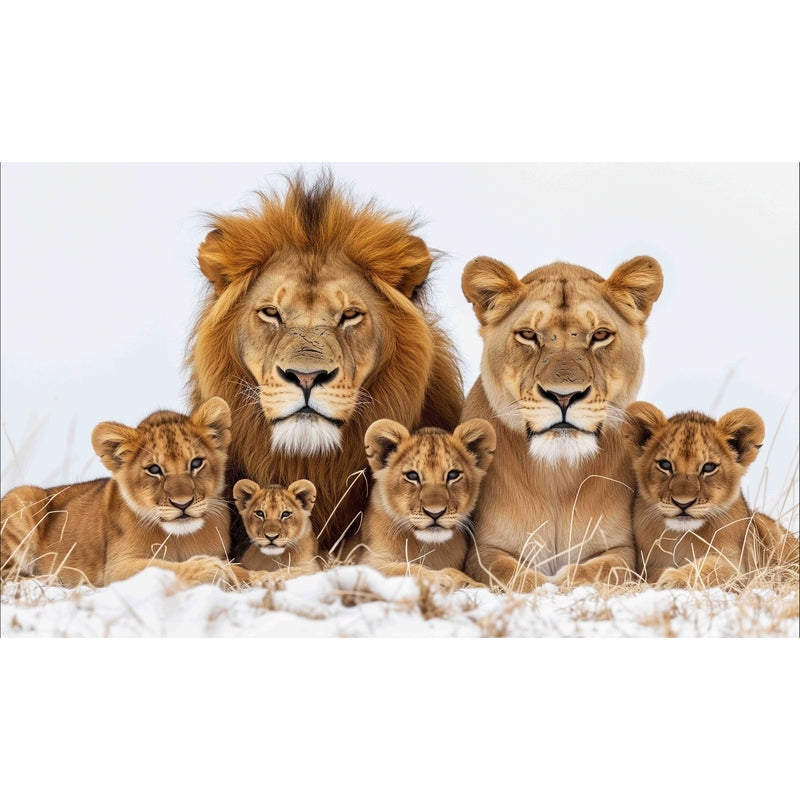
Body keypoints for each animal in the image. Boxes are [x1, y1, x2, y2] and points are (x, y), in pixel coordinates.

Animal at [0, 397, 258, 589]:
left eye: (196, 463)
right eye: (154, 469)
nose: (182, 504)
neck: (179, 538)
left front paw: (249, 574)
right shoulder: (117, 568)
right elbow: (160, 565)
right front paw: (209, 569)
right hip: (21, 497)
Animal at [359, 418, 496, 590]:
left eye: (453, 474)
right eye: (412, 476)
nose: (435, 513)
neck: (428, 546)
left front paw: (471, 583)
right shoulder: (367, 560)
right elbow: (402, 568)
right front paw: (442, 579)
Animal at [461, 255, 664, 591]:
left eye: (600, 335)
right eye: (528, 335)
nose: (564, 396)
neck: (558, 472)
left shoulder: (622, 549)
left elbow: (600, 569)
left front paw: (566, 580)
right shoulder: (484, 548)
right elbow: (509, 572)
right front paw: (540, 585)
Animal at [622, 401, 799, 589]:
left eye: (708, 467)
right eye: (665, 465)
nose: (683, 503)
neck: (682, 536)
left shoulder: (740, 568)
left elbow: (711, 569)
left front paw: (673, 578)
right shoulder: (642, 563)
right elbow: (648, 572)